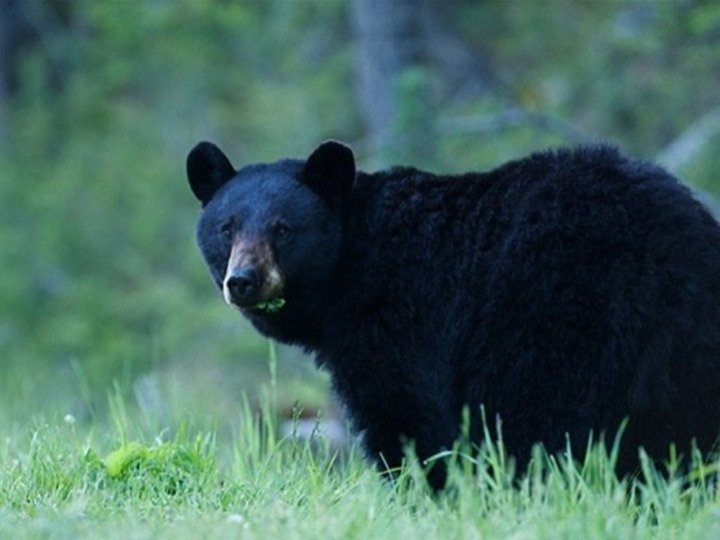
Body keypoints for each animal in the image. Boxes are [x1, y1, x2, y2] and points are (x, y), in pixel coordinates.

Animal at [186, 140, 720, 489]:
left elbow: (405, 416)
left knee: (543, 418)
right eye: (227, 227)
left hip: (556, 320)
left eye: (283, 229)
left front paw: (423, 490)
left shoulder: (400, 321)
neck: (353, 268)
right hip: (687, 354)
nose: (244, 280)